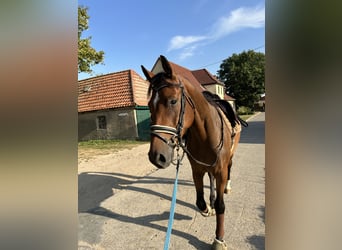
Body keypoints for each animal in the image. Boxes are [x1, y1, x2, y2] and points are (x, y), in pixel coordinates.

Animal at [142, 55, 243, 249]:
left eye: (173, 101)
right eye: (149, 105)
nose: (156, 157)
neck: (206, 134)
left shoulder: (220, 171)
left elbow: (221, 205)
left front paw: (219, 239)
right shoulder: (197, 169)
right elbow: (199, 201)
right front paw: (207, 208)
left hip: (230, 158)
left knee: (230, 168)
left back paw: (227, 187)